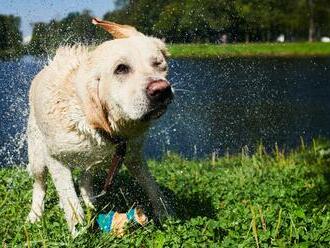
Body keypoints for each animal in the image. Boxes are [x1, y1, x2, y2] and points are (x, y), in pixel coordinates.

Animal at [27, 17, 174, 234]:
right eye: (121, 68)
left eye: (158, 64)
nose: (162, 90)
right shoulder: (55, 158)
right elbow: (69, 199)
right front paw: (78, 232)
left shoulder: (134, 155)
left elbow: (152, 186)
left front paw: (166, 215)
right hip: (37, 155)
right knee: (40, 185)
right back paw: (35, 215)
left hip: (96, 161)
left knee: (85, 180)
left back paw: (91, 203)